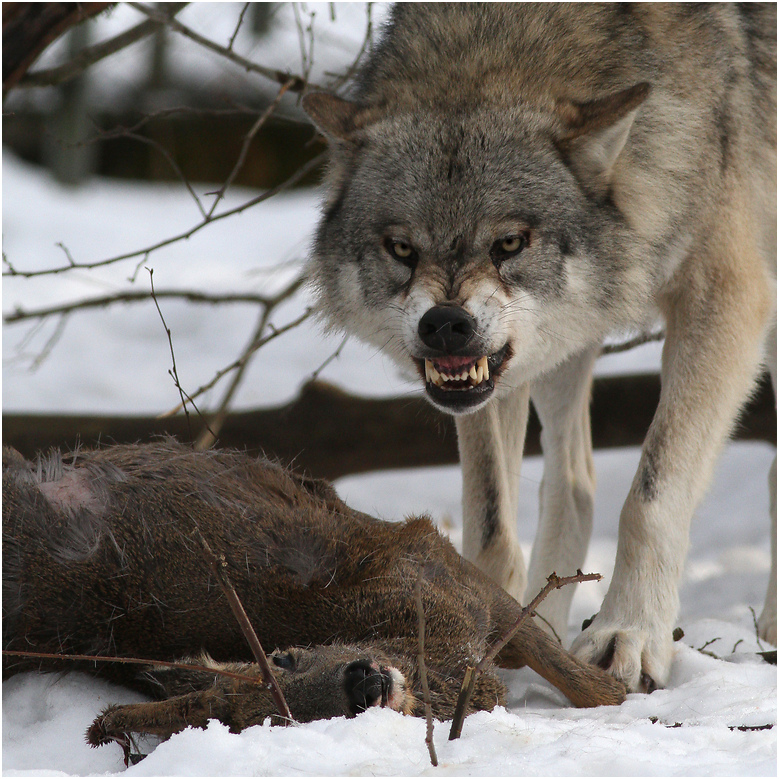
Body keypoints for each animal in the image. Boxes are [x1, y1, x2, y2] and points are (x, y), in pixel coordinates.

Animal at [1, 438, 628, 748]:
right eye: (290, 721)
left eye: (283, 656)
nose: (363, 683)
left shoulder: (431, 555)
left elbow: (571, 672)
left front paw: (625, 692)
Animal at [304, 1, 772, 696]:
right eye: (402, 249)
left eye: (509, 243)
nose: (445, 325)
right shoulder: (490, 379)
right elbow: (492, 520)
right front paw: (489, 630)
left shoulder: (726, 297)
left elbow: (651, 497)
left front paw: (629, 635)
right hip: (563, 344)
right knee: (574, 483)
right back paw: (542, 624)